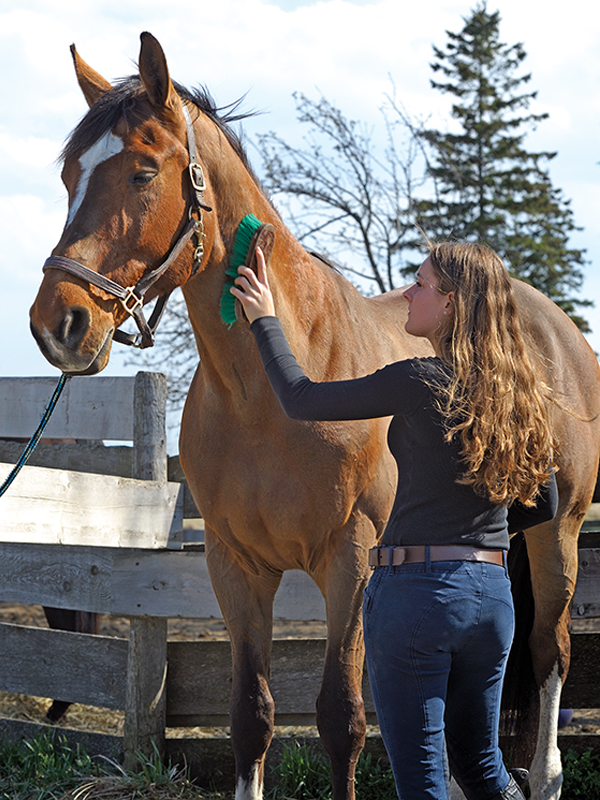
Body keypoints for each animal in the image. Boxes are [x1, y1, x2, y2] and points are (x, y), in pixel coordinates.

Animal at [28, 33, 600, 800]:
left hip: (556, 534)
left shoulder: (349, 561)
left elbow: (342, 718)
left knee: (547, 653)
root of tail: (551, 325)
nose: (57, 324)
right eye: (68, 175)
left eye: (144, 173)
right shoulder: (235, 566)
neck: (264, 394)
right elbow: (252, 716)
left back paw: (545, 774)